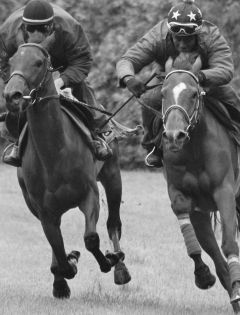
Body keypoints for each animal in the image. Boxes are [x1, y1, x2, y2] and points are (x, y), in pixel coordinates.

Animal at [2, 43, 130, 300]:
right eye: (11, 62)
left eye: (39, 63)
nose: (12, 95)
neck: (55, 152)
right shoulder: (43, 210)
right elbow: (58, 249)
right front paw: (66, 271)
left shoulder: (89, 196)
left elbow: (91, 239)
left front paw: (108, 261)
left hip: (112, 176)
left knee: (113, 223)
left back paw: (120, 268)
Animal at [159, 54, 240, 314]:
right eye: (163, 93)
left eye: (194, 93)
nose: (174, 136)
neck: (194, 150)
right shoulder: (184, 196)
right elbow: (200, 245)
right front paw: (204, 275)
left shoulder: (225, 191)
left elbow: (229, 243)